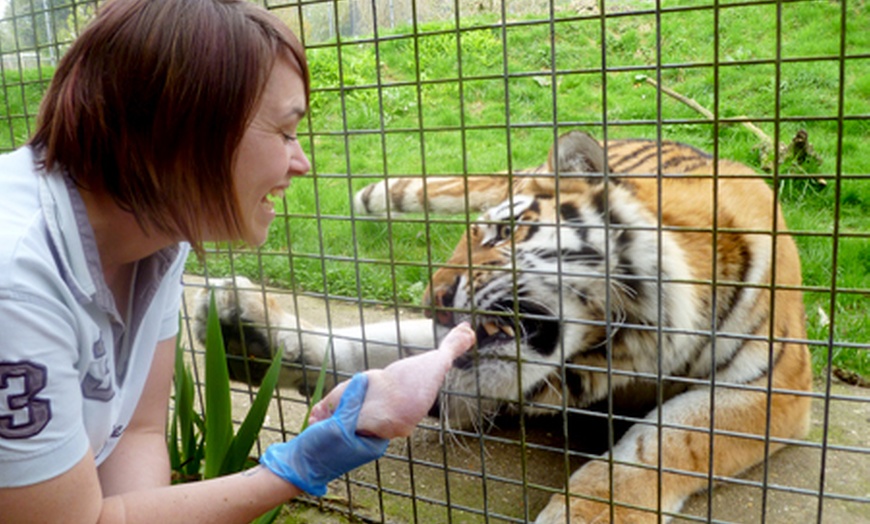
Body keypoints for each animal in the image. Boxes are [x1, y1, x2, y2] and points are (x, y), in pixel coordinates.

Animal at [196, 131, 812, 524]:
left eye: (504, 233)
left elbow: (666, 441)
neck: (618, 348)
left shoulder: (775, 386)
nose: (433, 300)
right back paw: (249, 338)